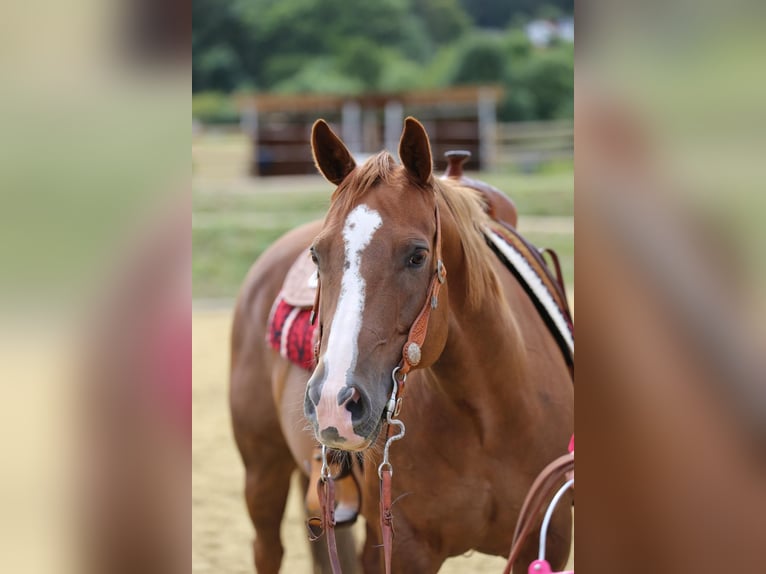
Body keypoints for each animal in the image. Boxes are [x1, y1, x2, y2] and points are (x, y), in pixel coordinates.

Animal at [231, 118, 572, 574]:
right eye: (317, 256)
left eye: (417, 256)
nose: (334, 401)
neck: (490, 416)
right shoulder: (406, 549)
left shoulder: (545, 541)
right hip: (262, 470)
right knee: (267, 547)